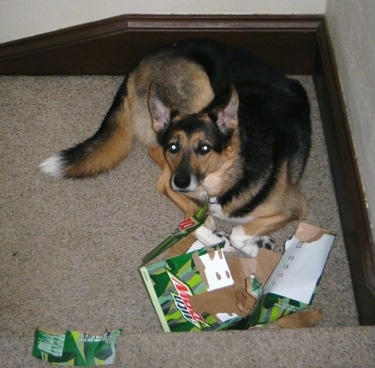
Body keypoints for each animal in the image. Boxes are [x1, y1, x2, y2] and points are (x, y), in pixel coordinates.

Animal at [40, 37, 312, 256]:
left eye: (205, 149)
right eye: (174, 147)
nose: (181, 182)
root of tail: (137, 66)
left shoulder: (295, 207)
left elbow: (239, 231)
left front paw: (251, 243)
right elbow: (232, 232)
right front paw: (247, 244)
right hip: (199, 95)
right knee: (163, 178)